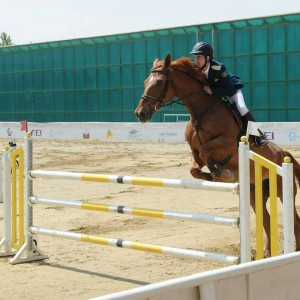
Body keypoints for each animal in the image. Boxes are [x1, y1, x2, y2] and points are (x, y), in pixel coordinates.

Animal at [135, 53, 300, 255]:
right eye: (145, 81)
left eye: (158, 82)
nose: (140, 113)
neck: (200, 114)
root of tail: (283, 153)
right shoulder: (196, 153)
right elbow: (195, 168)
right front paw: (212, 175)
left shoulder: (227, 144)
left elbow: (208, 151)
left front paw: (223, 173)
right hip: (256, 193)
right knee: (267, 219)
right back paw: (268, 253)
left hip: (283, 190)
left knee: (295, 221)